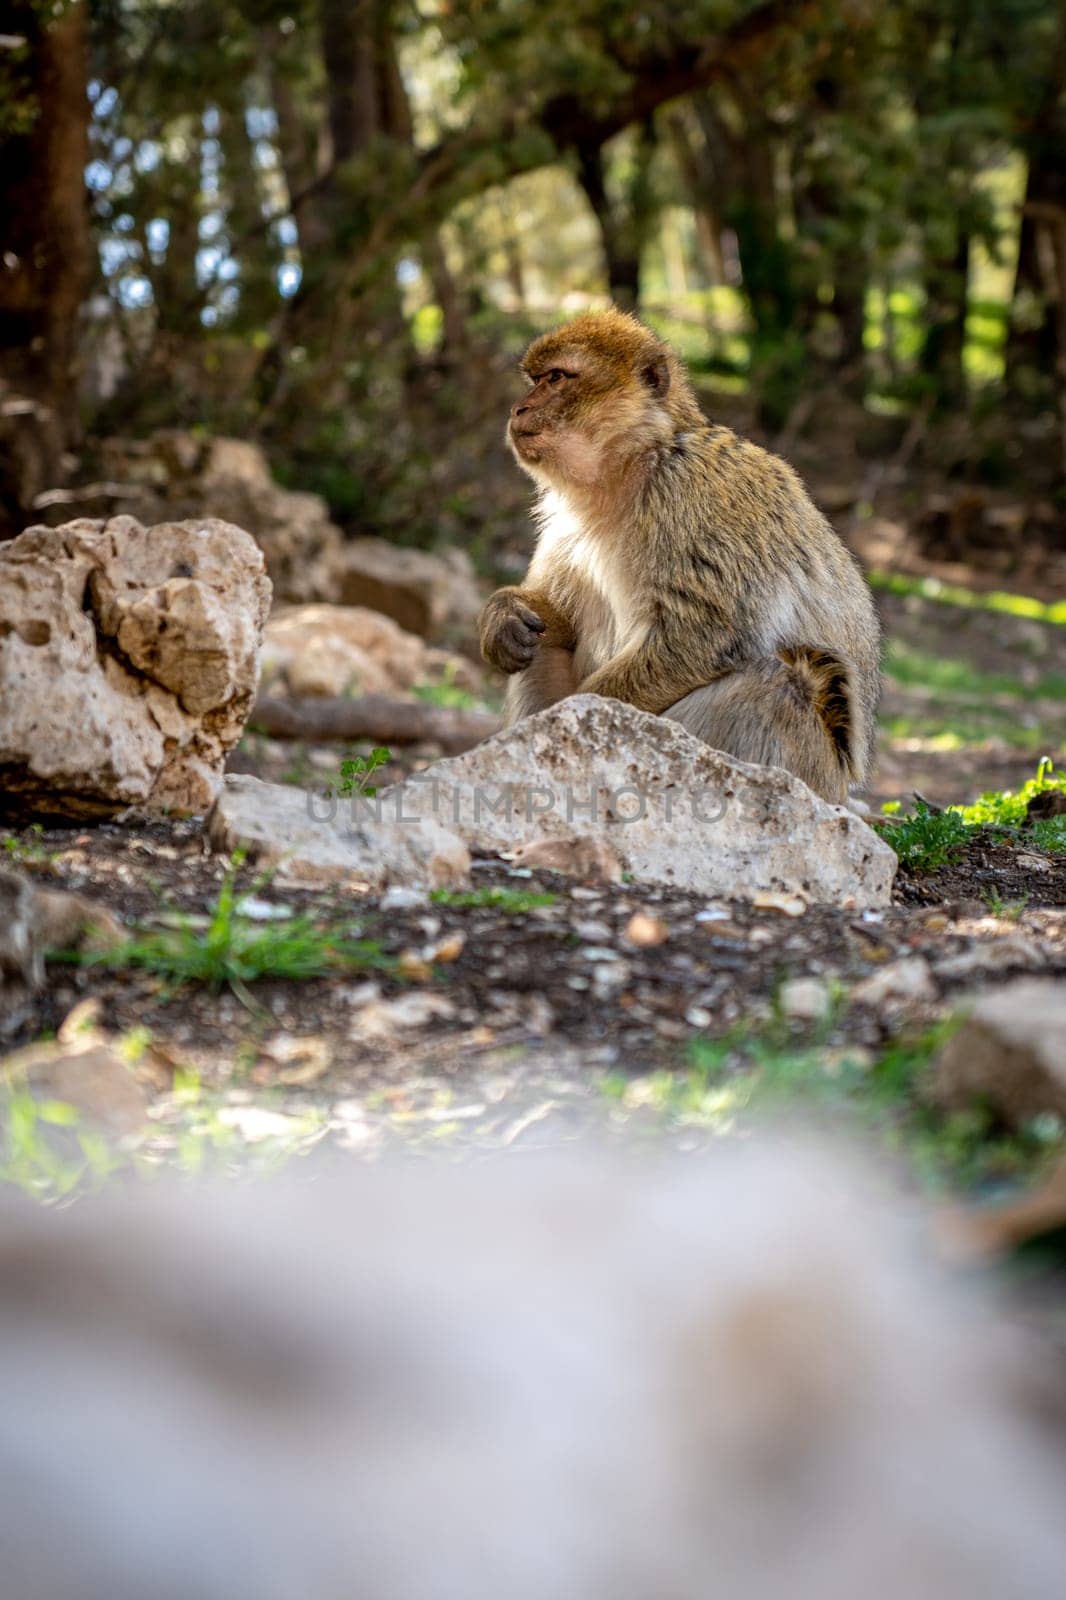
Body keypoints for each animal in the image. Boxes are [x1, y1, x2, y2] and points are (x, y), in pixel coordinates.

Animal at [480, 304, 877, 800]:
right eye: (534, 379)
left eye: (556, 378)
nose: (519, 408)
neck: (639, 463)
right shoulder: (564, 519)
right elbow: (559, 619)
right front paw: (504, 614)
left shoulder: (695, 492)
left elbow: (704, 637)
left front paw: (585, 715)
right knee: (544, 648)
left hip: (801, 772)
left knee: (776, 688)